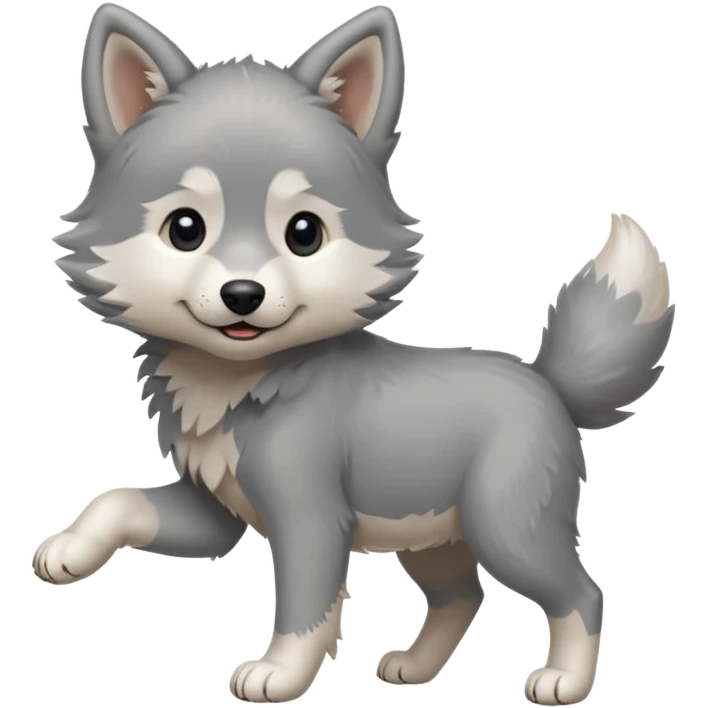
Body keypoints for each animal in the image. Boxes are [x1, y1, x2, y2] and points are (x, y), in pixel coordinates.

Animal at [37, 3, 674, 705]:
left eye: (304, 234)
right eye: (185, 229)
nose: (243, 294)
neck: (240, 382)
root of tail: (544, 381)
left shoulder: (311, 515)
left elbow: (306, 606)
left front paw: (279, 673)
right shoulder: (214, 509)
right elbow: (116, 500)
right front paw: (66, 550)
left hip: (506, 526)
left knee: (582, 594)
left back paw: (564, 680)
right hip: (431, 533)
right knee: (463, 596)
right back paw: (415, 668)